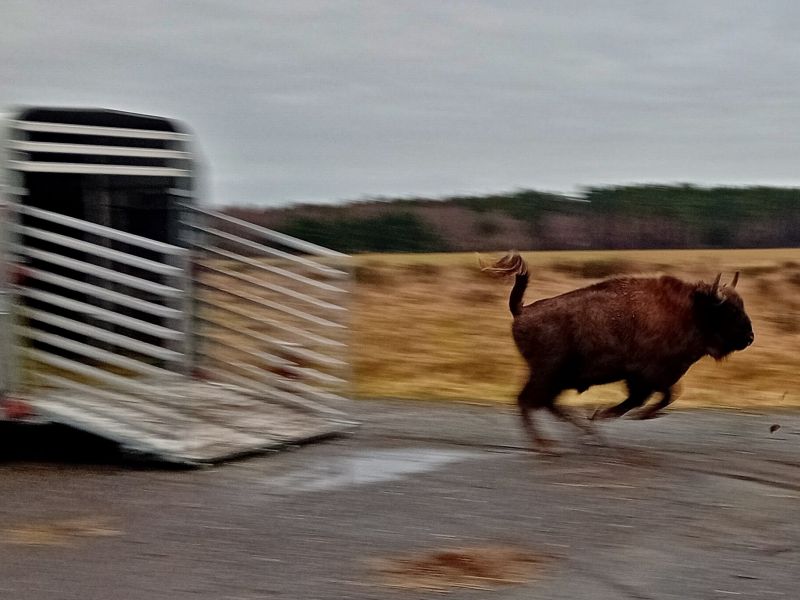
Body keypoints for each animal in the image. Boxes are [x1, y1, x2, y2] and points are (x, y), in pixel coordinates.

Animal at [482, 252, 756, 450]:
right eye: (731, 310)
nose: (750, 337)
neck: (692, 311)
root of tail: (522, 310)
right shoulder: (645, 375)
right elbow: (654, 397)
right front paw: (609, 415)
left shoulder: (654, 377)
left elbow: (667, 395)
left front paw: (619, 416)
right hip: (547, 373)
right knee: (528, 401)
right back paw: (548, 442)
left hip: (555, 378)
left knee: (543, 403)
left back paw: (585, 433)